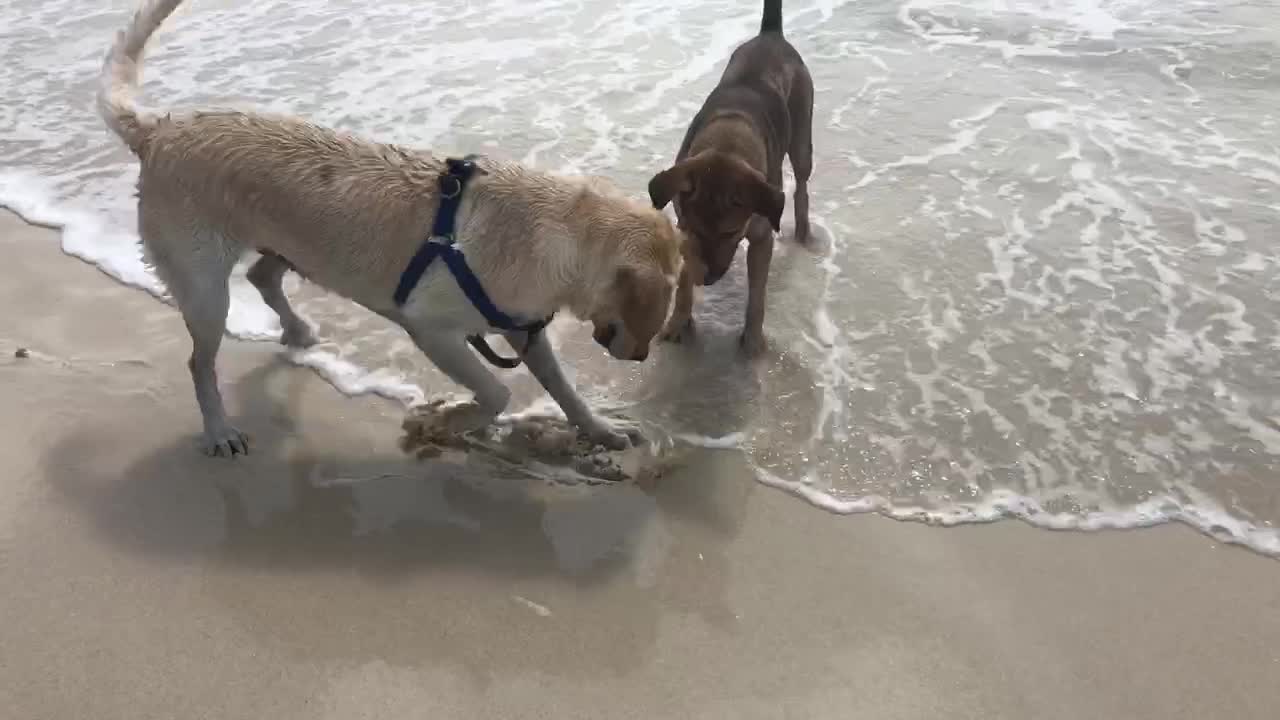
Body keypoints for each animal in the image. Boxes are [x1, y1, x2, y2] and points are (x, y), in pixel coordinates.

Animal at [645, 0, 814, 356]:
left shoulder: (761, 237)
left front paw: (751, 340)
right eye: (693, 229)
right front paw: (678, 321)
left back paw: (804, 229)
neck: (727, 143)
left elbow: (757, 298)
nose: (706, 279)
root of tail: (771, 34)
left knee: (802, 182)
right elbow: (683, 282)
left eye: (731, 232)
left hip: (802, 134)